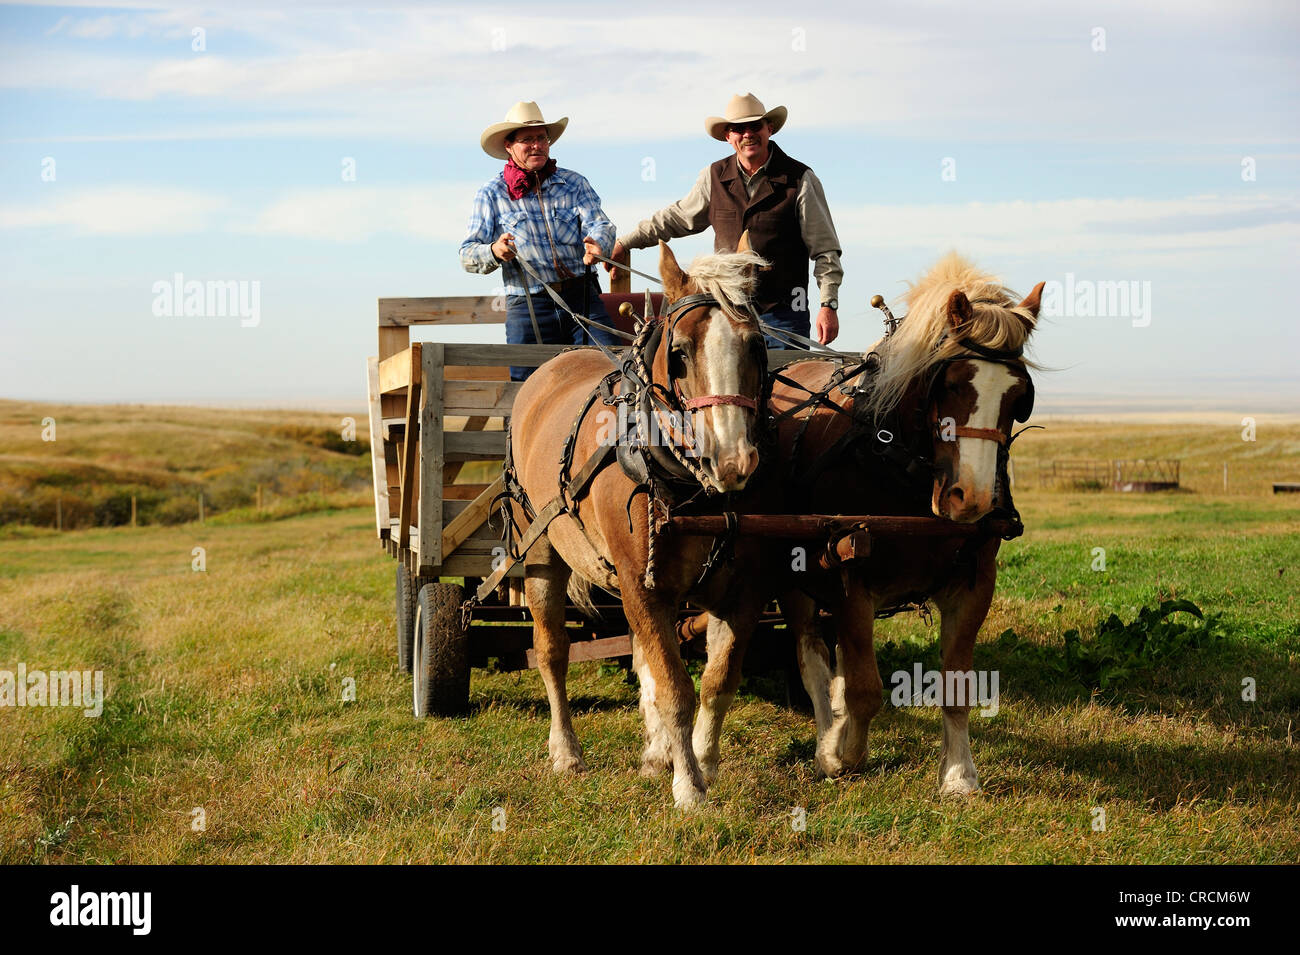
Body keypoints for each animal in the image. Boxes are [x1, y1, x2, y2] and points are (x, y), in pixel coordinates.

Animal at [506, 237, 769, 805]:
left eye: (756, 345)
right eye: (681, 353)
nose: (732, 461)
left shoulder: (740, 588)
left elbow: (717, 680)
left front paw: (700, 762)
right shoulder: (638, 582)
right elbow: (675, 688)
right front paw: (690, 788)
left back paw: (655, 752)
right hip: (540, 550)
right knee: (552, 651)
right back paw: (567, 751)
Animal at [769, 252, 1045, 789]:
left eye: (1018, 394)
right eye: (951, 383)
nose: (971, 499)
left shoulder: (974, 583)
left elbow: (956, 684)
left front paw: (959, 775)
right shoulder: (851, 580)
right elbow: (864, 689)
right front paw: (844, 753)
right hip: (791, 571)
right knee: (811, 655)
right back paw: (827, 737)